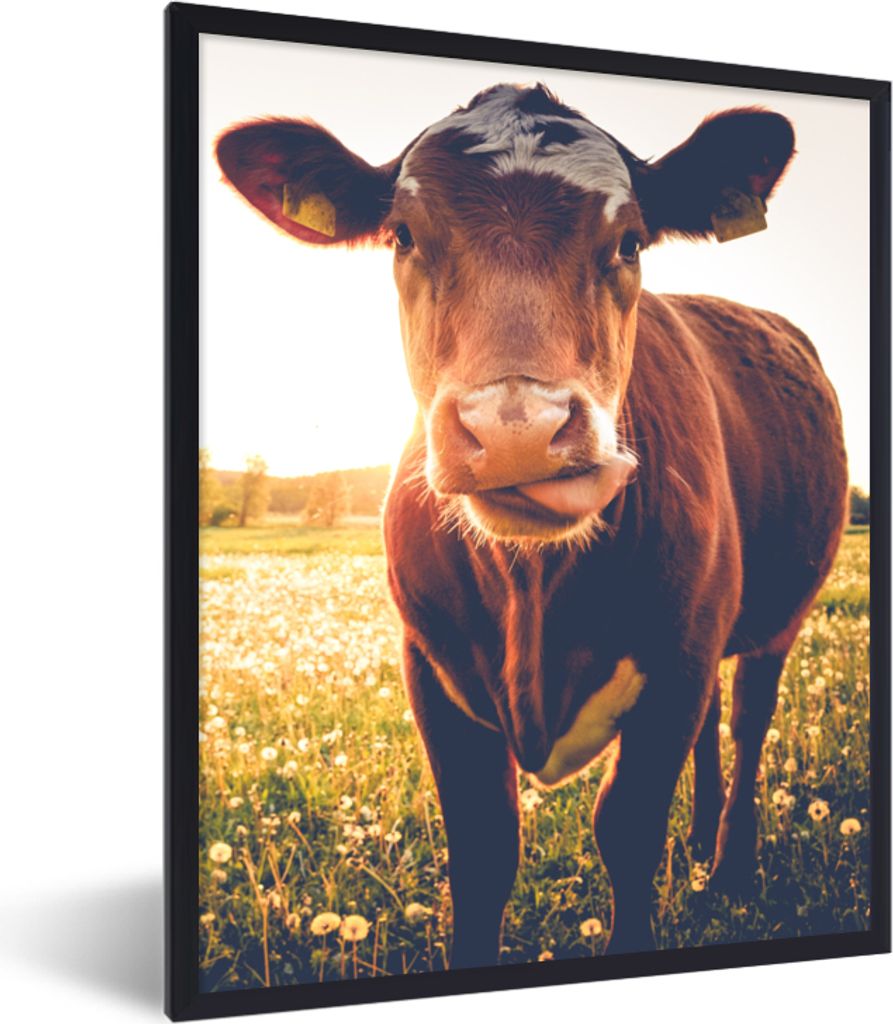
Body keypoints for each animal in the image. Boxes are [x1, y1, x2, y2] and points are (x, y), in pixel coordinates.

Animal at [216, 83, 849, 966]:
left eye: (629, 241)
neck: (532, 588)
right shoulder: (430, 667)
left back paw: (727, 868)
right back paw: (699, 847)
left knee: (749, 719)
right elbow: (484, 851)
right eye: (403, 235)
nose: (516, 427)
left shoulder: (676, 660)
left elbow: (626, 831)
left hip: (775, 615)